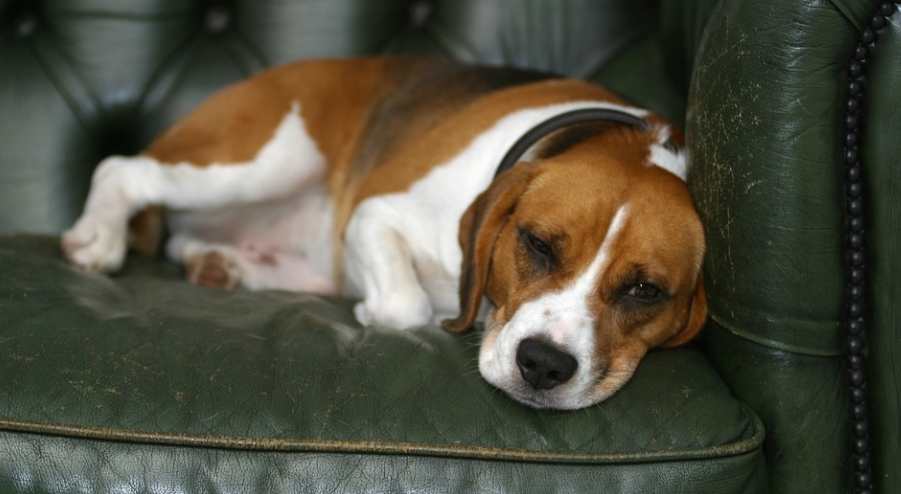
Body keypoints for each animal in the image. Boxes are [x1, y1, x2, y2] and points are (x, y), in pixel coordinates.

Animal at [65, 57, 712, 410]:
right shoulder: (374, 213)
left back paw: (220, 263)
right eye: (536, 244)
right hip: (261, 162)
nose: (543, 366)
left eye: (645, 291)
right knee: (122, 170)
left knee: (184, 239)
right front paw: (382, 312)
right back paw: (97, 238)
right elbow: (407, 306)